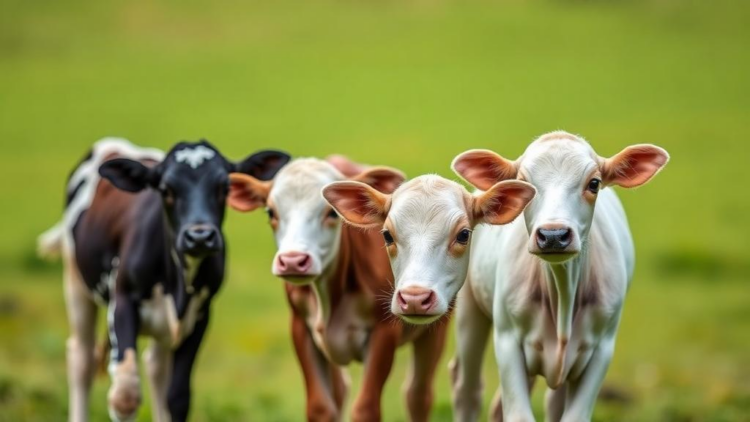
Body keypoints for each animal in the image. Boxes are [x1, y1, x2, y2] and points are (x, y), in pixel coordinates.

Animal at [37, 138, 289, 422]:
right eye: (166, 189)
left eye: (224, 188)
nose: (200, 237)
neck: (177, 280)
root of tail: (114, 143)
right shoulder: (122, 302)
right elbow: (125, 395)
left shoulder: (199, 316)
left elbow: (177, 397)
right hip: (76, 280)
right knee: (81, 358)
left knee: (156, 368)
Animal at [228, 157, 448, 422]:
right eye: (271, 212)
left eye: (331, 212)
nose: (293, 261)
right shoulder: (301, 327)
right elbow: (320, 407)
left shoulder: (384, 331)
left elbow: (366, 408)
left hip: (435, 328)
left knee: (418, 395)